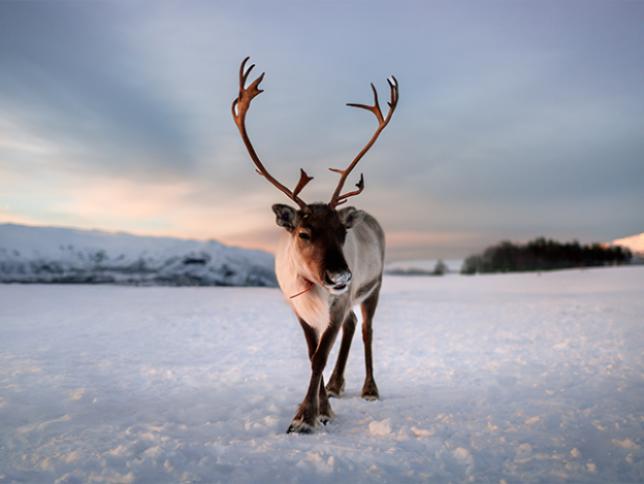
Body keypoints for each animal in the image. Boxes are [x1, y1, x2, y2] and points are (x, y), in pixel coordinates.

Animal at [231, 57, 398, 433]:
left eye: (342, 232)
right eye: (303, 233)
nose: (340, 276)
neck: (311, 284)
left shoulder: (338, 303)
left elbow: (320, 355)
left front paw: (305, 417)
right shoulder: (299, 308)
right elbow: (312, 355)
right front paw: (322, 408)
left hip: (374, 287)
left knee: (365, 330)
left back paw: (369, 388)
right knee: (351, 328)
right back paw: (336, 386)